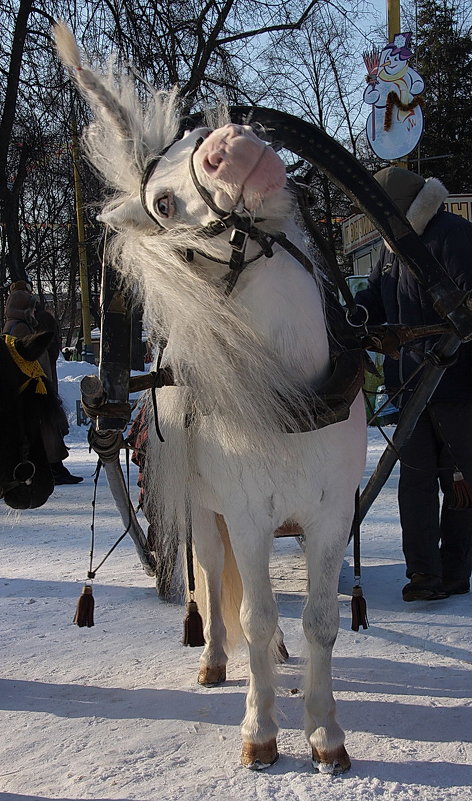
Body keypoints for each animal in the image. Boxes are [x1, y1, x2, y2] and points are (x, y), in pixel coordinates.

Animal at [54, 23, 366, 776]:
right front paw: (261, 730)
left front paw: (325, 733)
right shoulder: (248, 517)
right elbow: (254, 613)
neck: (286, 393)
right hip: (205, 507)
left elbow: (318, 622)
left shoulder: (331, 515)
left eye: (199, 133)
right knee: (211, 576)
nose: (233, 148)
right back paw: (219, 660)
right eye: (163, 205)